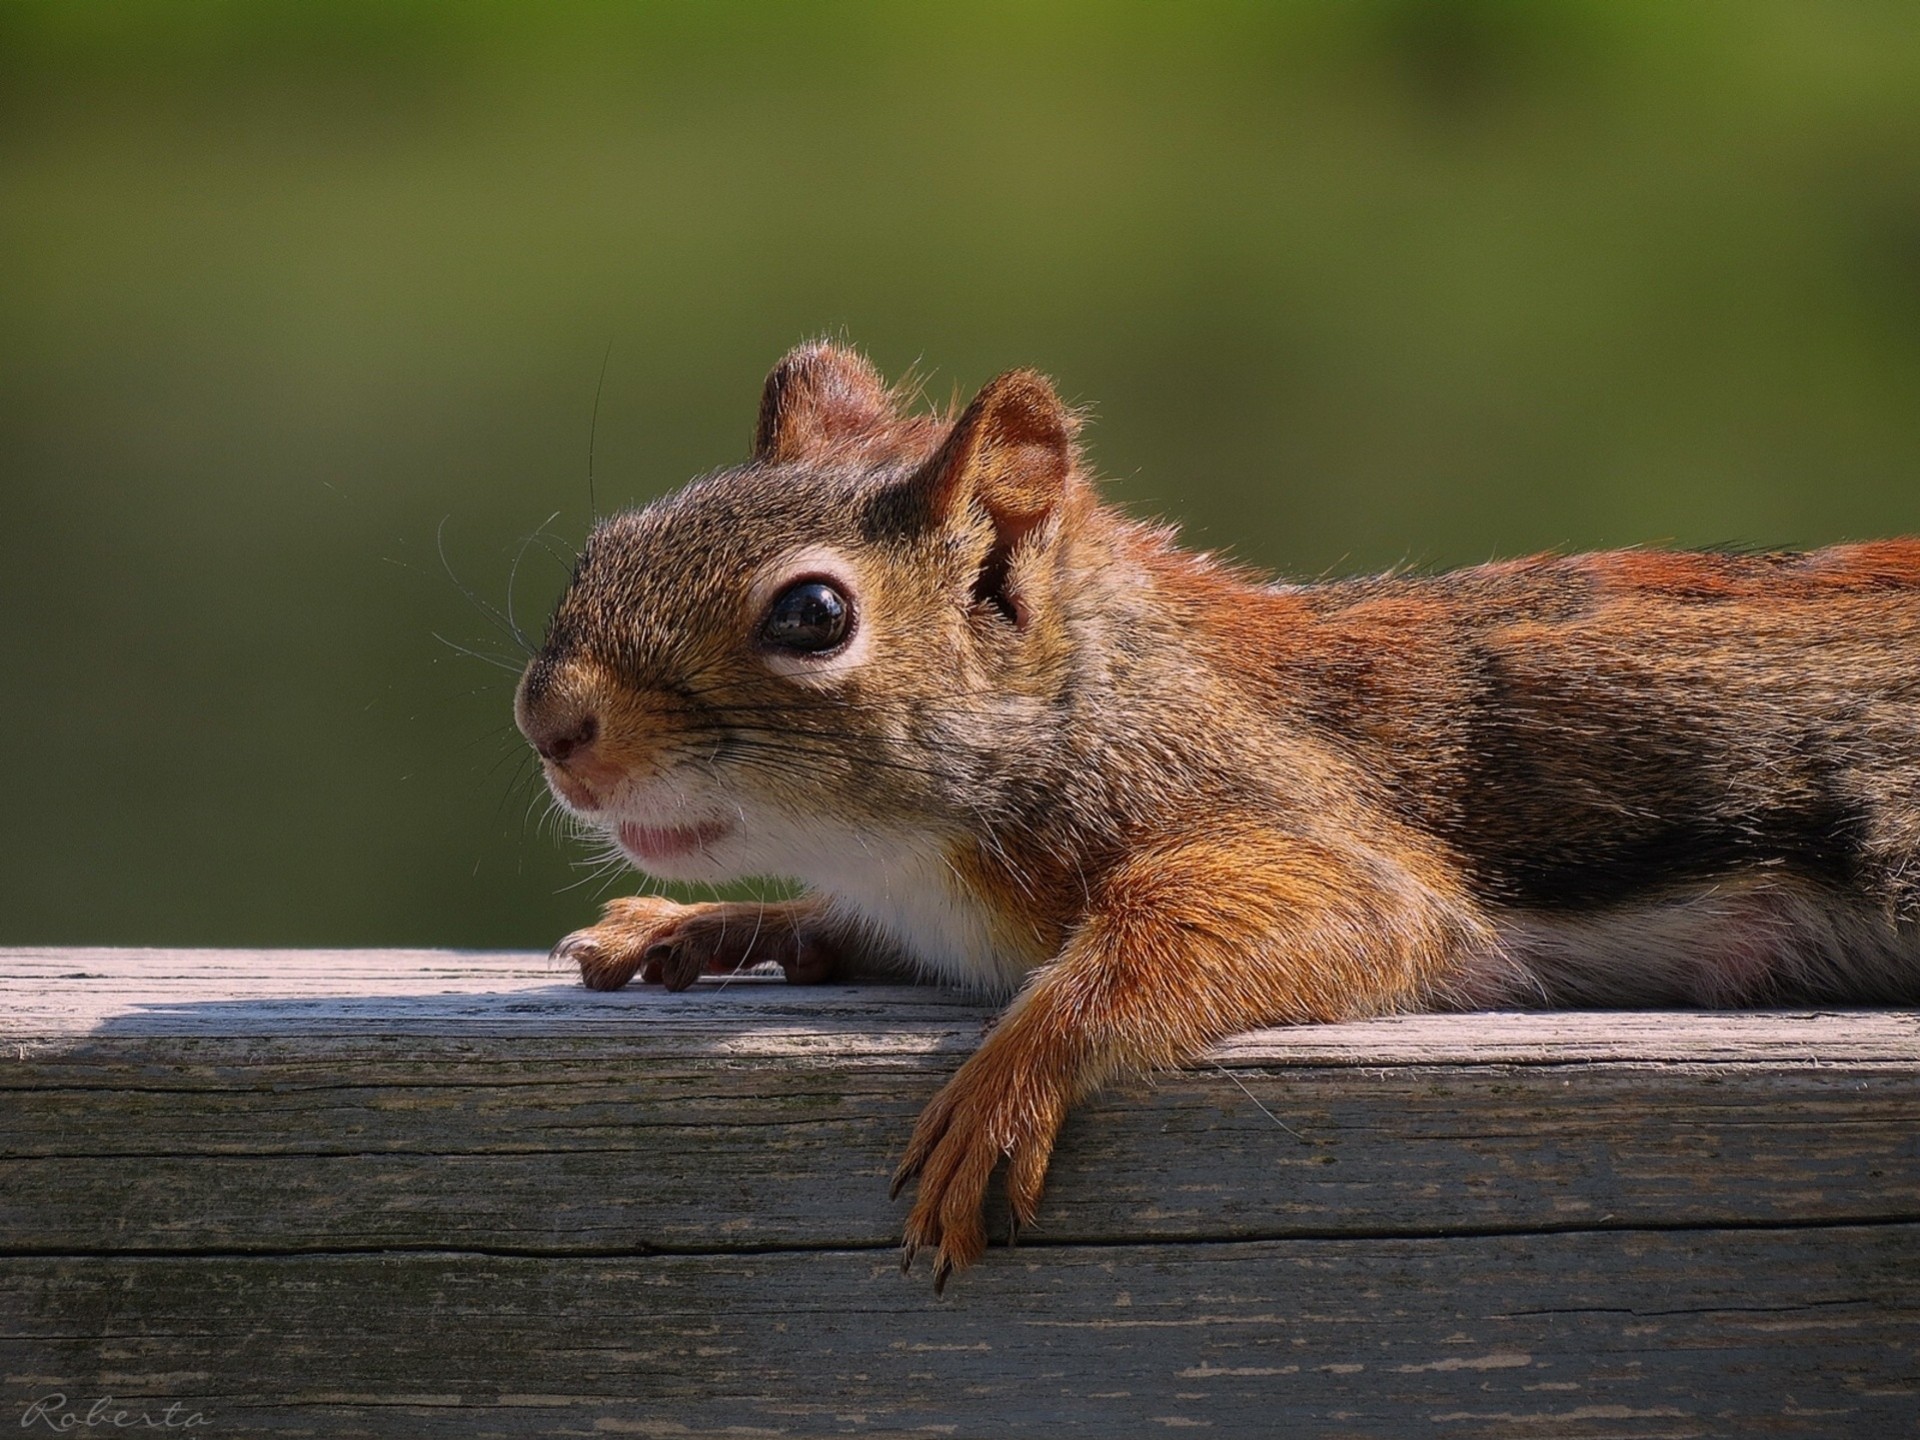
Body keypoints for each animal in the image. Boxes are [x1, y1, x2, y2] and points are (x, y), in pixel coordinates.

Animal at [518, 341, 1920, 1297]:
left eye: (812, 616)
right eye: (608, 541)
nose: (550, 722)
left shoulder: (1288, 812)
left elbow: (1299, 914)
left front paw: (1010, 1079)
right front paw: (683, 930)